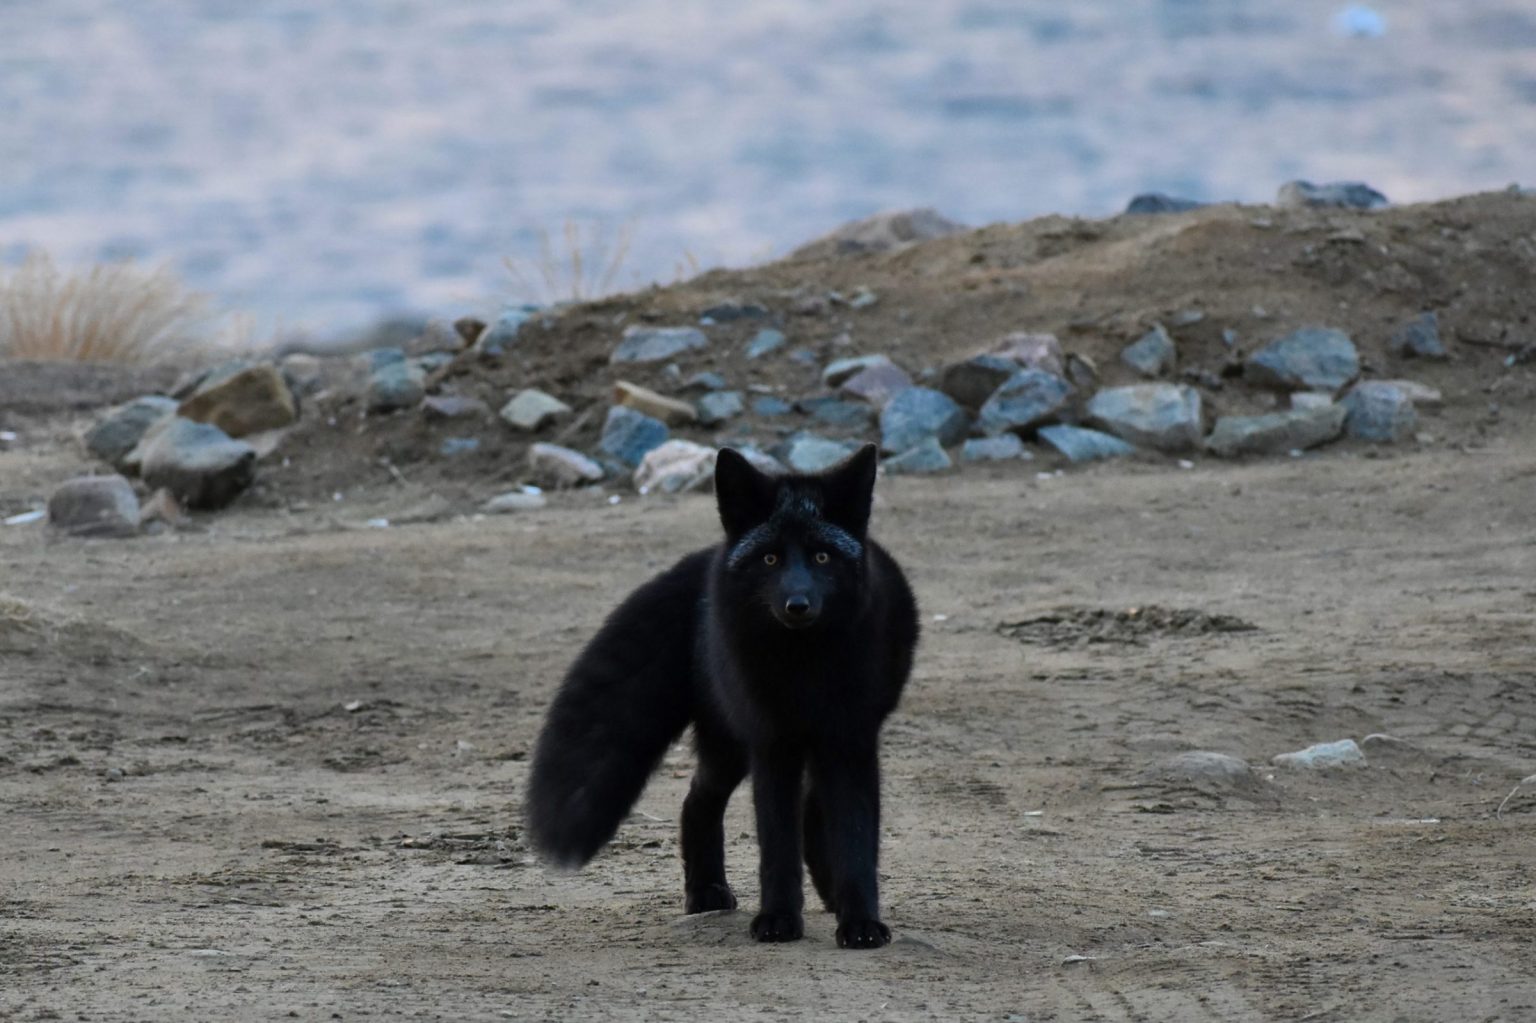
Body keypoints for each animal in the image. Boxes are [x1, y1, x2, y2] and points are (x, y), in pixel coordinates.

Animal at [525, 443, 919, 948]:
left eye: (822, 557)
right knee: (697, 802)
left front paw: (861, 924)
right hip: (731, 747)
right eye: (770, 560)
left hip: (780, 749)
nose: (797, 605)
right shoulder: (772, 745)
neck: (803, 669)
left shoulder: (848, 743)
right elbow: (777, 846)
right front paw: (778, 919)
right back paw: (707, 892)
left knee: (803, 807)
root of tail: (709, 556)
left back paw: (825, 893)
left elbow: (854, 841)